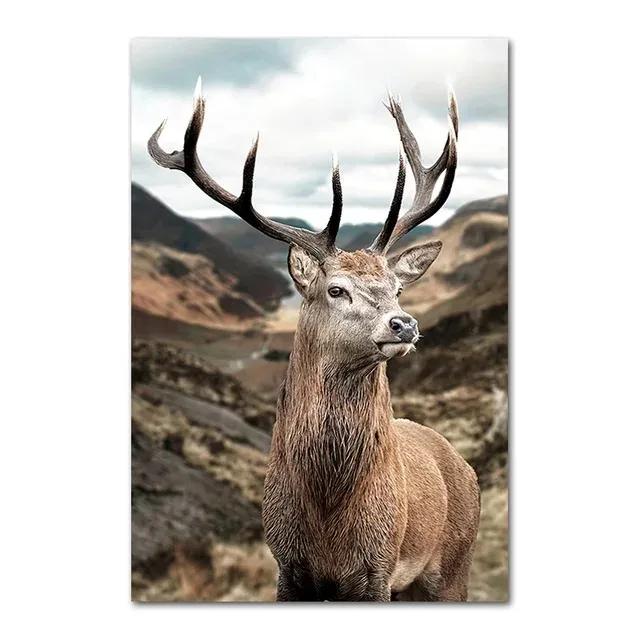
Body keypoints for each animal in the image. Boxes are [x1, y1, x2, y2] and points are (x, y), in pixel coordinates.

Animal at [148, 79, 480, 602]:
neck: (327, 518)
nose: (404, 324)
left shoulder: (378, 568)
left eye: (398, 288)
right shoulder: (287, 564)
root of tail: (463, 465)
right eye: (336, 289)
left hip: (452, 567)